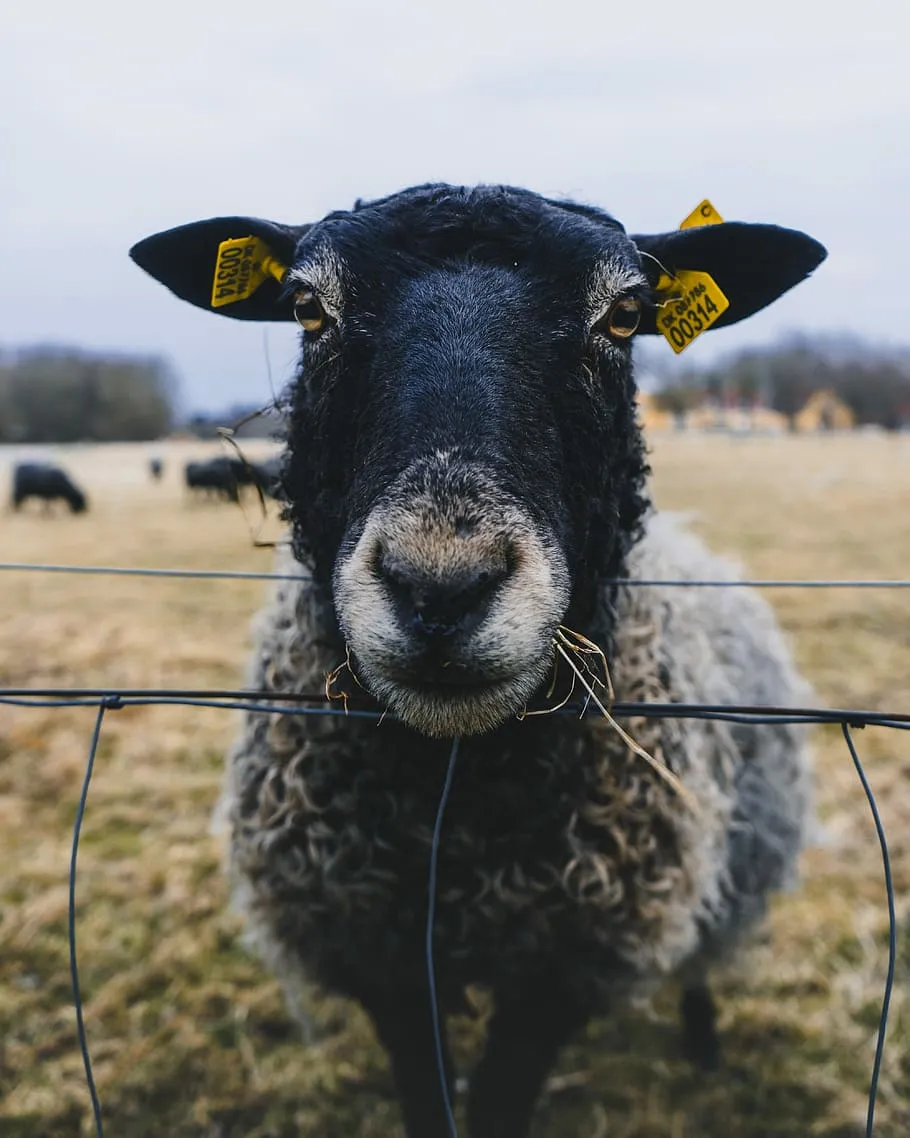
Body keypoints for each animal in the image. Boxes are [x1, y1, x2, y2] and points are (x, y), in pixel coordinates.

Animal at [131, 184, 826, 1138]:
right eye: (308, 308)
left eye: (625, 315)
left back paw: (704, 1044)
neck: (460, 808)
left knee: (701, 960)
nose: (440, 587)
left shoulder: (561, 965)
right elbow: (428, 1091)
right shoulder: (385, 956)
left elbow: (501, 1095)